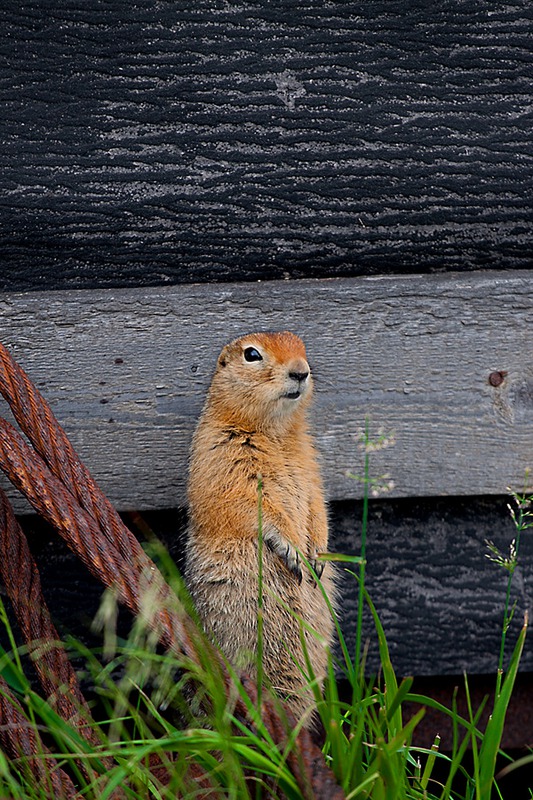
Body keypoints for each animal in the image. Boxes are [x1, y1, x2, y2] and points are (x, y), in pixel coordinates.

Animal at [185, 332, 334, 720]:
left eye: (301, 346)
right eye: (252, 355)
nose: (301, 371)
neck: (276, 432)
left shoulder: (310, 465)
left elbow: (317, 504)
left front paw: (318, 553)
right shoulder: (224, 459)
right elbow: (257, 507)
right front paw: (294, 550)